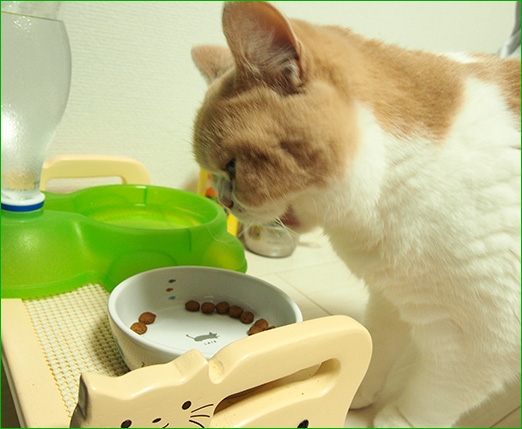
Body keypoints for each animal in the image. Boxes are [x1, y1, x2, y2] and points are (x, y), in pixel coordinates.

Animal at [191, 2, 521, 428]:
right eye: (216, 173)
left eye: (232, 166)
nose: (226, 202)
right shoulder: (393, 297)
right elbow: (378, 343)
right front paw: (357, 388)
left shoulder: (485, 338)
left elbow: (435, 394)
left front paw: (399, 419)